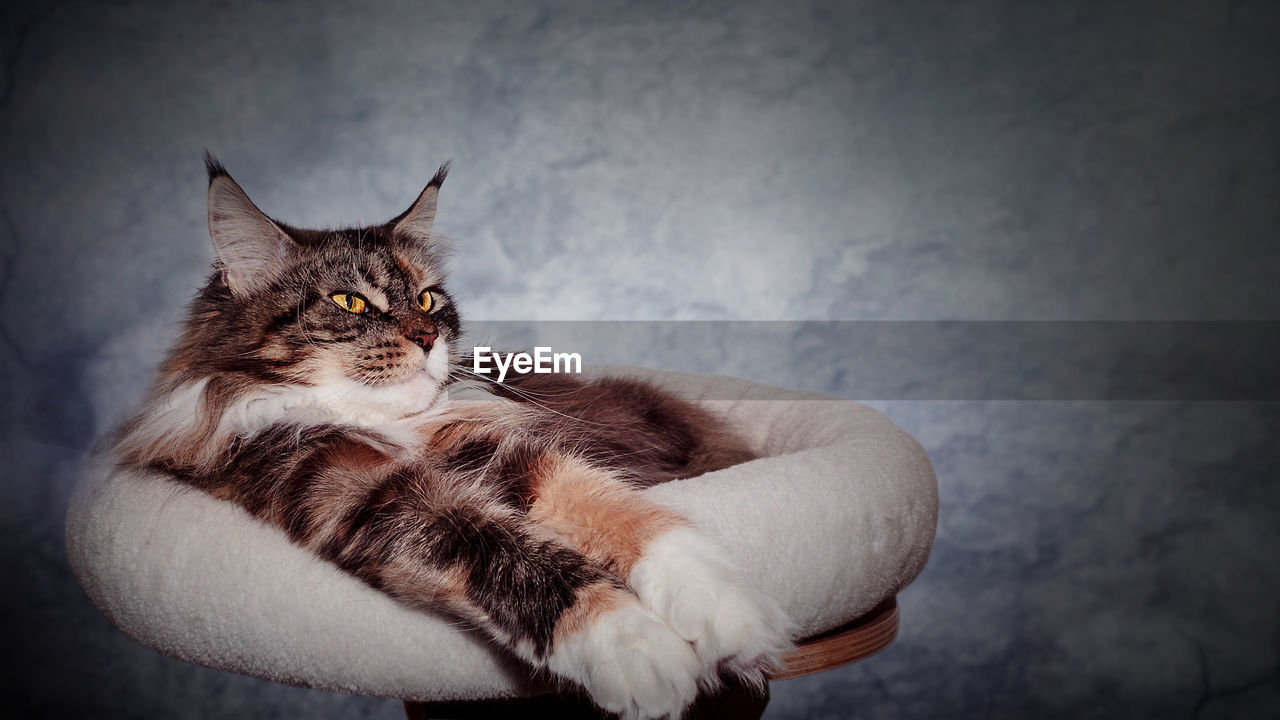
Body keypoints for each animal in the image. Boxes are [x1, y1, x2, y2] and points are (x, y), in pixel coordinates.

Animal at [110, 156, 788, 717]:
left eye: (428, 299)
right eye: (351, 302)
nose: (429, 337)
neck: (388, 428)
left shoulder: (497, 447)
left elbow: (619, 512)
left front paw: (724, 611)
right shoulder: (358, 493)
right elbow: (511, 554)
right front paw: (638, 648)